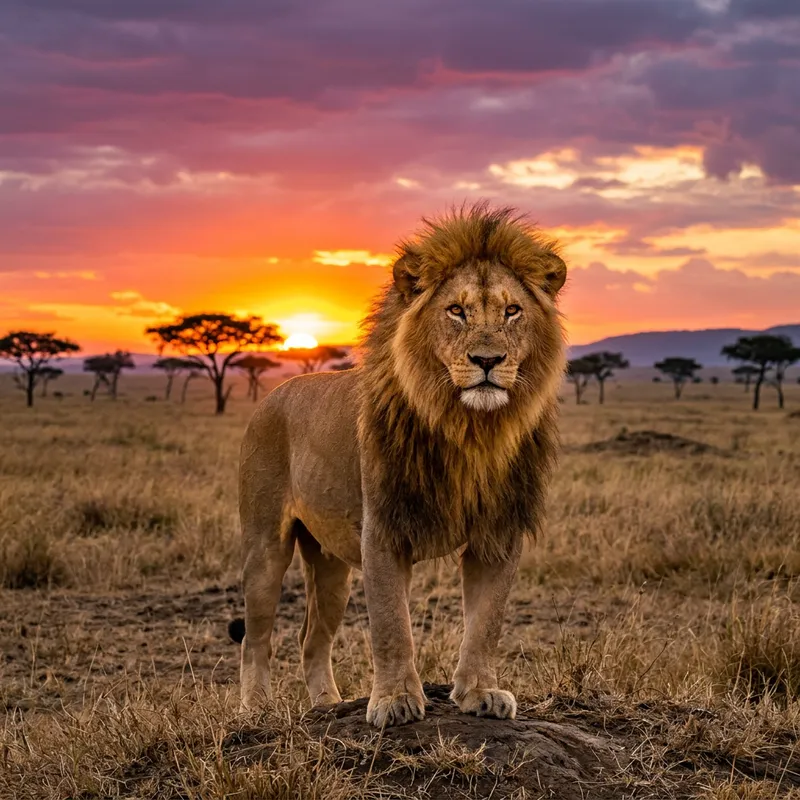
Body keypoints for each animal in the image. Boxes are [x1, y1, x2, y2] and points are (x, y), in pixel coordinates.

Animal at [234, 203, 567, 727]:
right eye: (457, 310)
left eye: (513, 311)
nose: (488, 360)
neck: (470, 429)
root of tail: (275, 393)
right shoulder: (385, 529)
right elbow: (392, 625)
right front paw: (394, 701)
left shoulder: (498, 532)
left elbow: (487, 622)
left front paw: (481, 692)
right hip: (265, 544)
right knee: (256, 636)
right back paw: (255, 711)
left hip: (330, 564)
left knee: (313, 639)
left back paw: (328, 705)